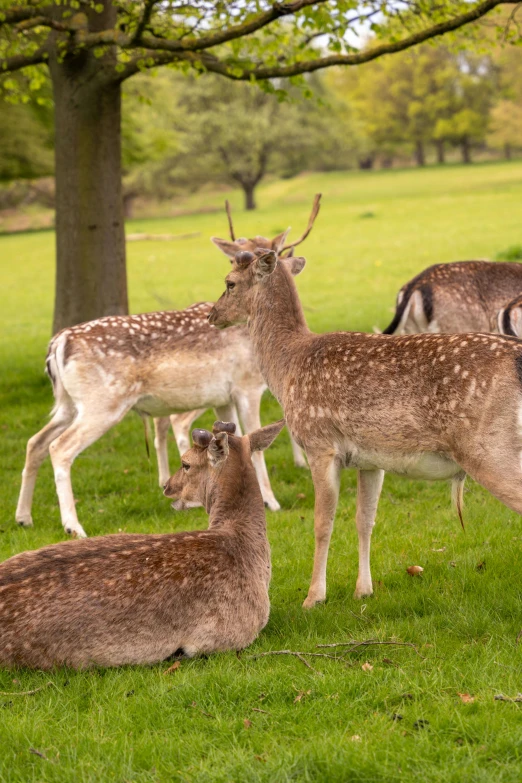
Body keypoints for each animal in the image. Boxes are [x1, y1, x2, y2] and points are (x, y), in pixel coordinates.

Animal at [15, 198, 316, 540]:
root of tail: (59, 342)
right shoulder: (247, 385)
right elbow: (257, 447)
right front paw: (271, 502)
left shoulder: (223, 397)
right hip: (102, 402)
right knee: (60, 448)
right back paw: (73, 526)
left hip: (68, 403)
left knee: (35, 442)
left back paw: (24, 517)